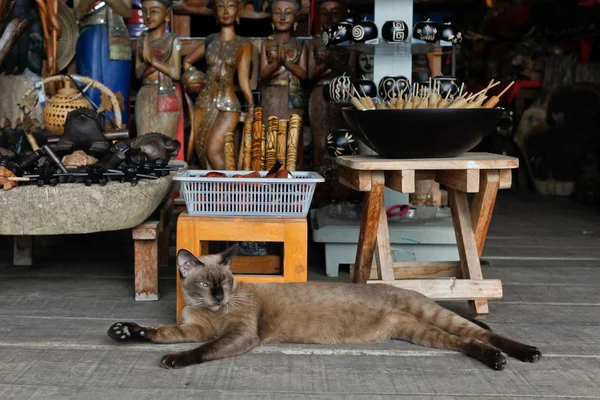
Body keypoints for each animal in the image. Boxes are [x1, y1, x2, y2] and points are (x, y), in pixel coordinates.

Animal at [105, 244, 540, 372]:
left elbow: (199, 350)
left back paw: (524, 354)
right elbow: (159, 334)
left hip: (433, 318)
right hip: (421, 333)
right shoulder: (189, 329)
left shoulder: (238, 335)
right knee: (466, 341)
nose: (218, 297)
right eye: (204, 284)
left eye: (224, 283)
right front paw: (126, 331)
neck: (207, 313)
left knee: (480, 333)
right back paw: (501, 358)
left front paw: (174, 361)